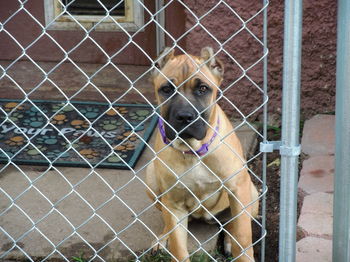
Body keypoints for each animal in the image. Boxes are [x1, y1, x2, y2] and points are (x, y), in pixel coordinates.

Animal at [146, 47, 258, 262]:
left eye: (203, 89)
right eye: (166, 89)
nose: (185, 117)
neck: (192, 150)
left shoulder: (238, 188)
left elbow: (242, 236)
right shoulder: (173, 204)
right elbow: (179, 249)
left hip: (251, 193)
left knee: (232, 225)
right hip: (152, 179)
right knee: (166, 221)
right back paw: (162, 237)